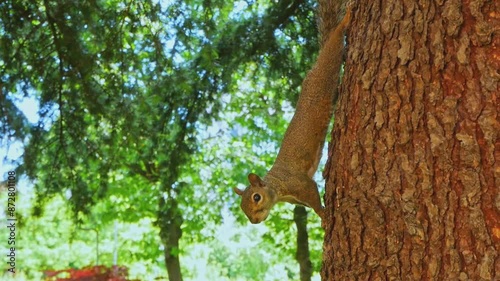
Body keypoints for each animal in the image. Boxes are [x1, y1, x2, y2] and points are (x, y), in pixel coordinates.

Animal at [234, 4, 352, 223]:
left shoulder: (300, 184)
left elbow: (313, 197)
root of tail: (313, 70)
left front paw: (323, 214)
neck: (277, 185)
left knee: (335, 42)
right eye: (241, 206)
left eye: (256, 197)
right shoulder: (296, 199)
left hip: (327, 69)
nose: (254, 221)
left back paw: (345, 21)